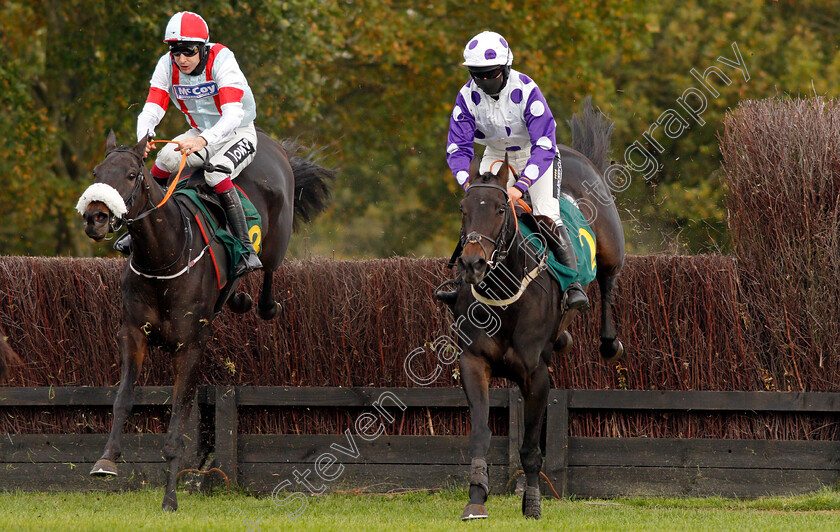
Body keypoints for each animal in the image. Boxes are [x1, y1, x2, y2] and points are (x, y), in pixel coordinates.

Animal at [79, 130, 334, 512]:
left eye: (131, 175)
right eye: (97, 172)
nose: (95, 217)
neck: (164, 258)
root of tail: (271, 142)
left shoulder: (190, 346)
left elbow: (178, 424)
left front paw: (170, 498)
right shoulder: (133, 334)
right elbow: (122, 397)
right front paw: (106, 460)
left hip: (277, 240)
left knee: (267, 274)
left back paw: (256, 288)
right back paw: (238, 296)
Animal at [452, 101, 624, 520]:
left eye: (501, 208)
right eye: (464, 208)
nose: (473, 263)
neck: (505, 300)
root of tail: (579, 154)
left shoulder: (536, 374)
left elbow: (531, 447)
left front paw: (531, 502)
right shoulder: (474, 362)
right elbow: (480, 432)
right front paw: (476, 497)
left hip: (612, 244)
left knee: (608, 280)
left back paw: (608, 340)